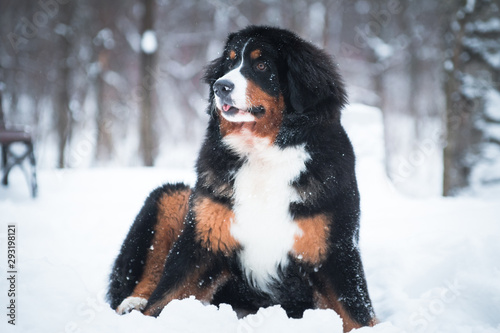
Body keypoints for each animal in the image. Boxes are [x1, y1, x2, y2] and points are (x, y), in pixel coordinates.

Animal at [108, 25, 376, 330]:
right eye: (230, 62)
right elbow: (165, 296)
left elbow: (356, 312)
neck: (262, 153)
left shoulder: (336, 250)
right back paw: (133, 303)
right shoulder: (202, 240)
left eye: (261, 65)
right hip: (171, 196)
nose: (220, 86)